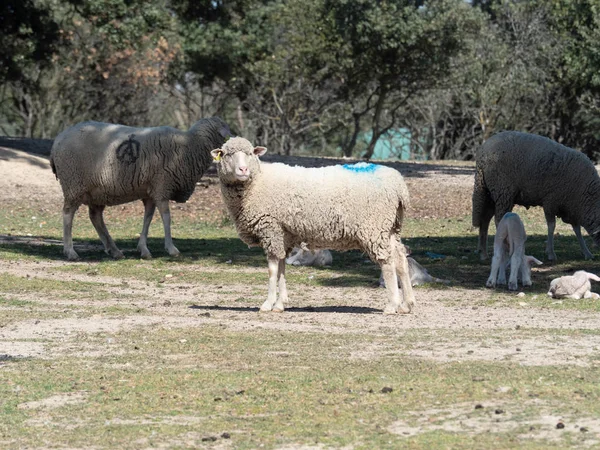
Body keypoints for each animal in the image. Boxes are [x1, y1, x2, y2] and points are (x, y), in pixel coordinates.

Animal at [49, 116, 231, 260]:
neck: (189, 145)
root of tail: (58, 139)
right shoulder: (162, 186)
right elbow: (166, 218)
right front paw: (171, 248)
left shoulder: (151, 191)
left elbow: (148, 218)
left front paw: (143, 249)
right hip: (73, 183)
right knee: (68, 215)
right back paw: (70, 251)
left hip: (96, 191)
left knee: (95, 217)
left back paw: (115, 251)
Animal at [213, 135, 414, 314]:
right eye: (228, 154)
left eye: (250, 153)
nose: (243, 169)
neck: (257, 182)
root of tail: (398, 185)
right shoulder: (284, 234)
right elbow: (281, 268)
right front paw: (280, 303)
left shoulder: (271, 228)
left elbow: (272, 270)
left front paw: (268, 304)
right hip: (389, 227)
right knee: (400, 258)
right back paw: (407, 304)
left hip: (374, 227)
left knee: (388, 262)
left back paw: (392, 305)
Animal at [472, 130, 600, 262]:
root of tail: (482, 155)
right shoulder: (551, 201)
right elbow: (551, 226)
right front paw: (551, 253)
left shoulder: (571, 208)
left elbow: (577, 229)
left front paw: (587, 253)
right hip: (503, 191)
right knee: (498, 220)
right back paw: (505, 252)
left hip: (489, 193)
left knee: (485, 220)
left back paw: (483, 253)